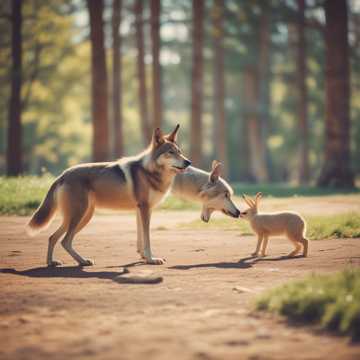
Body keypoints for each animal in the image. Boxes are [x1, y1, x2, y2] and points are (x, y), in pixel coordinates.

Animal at [26, 125, 190, 266]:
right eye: (170, 152)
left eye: (180, 151)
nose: (188, 162)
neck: (150, 171)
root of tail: (62, 175)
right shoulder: (145, 209)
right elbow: (147, 238)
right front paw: (151, 259)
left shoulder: (140, 210)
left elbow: (140, 238)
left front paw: (144, 257)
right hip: (79, 216)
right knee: (65, 240)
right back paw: (82, 261)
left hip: (79, 217)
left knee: (53, 237)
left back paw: (53, 262)